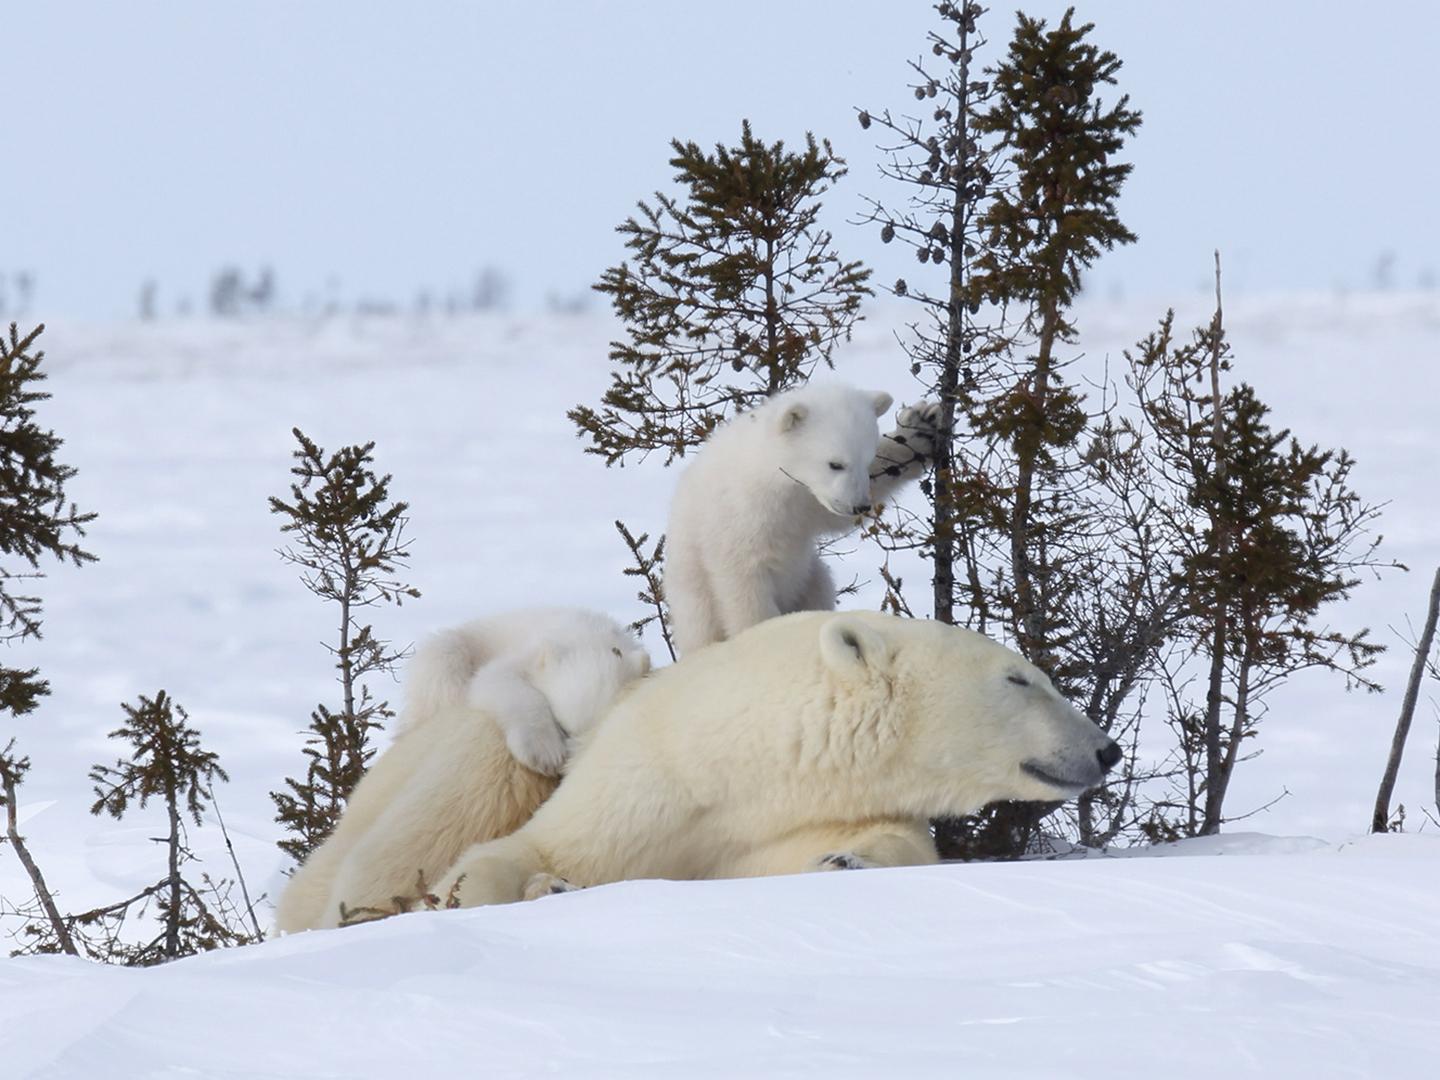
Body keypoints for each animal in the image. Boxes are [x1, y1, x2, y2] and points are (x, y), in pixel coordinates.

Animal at [270, 604, 653, 933]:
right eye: (564, 728)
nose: (569, 767)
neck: (588, 634)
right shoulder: (519, 654)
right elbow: (498, 684)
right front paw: (544, 753)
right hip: (449, 655)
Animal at [432, 613, 1117, 910]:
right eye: (1020, 679)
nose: (1104, 748)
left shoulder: (809, 813)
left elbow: (877, 845)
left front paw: (844, 862)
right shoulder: (643, 787)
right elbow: (530, 849)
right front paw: (526, 886)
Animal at [662, 385, 944, 656]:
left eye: (867, 459)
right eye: (835, 464)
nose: (859, 505)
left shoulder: (806, 503)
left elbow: (833, 515)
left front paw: (921, 424)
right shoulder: (738, 513)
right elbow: (743, 578)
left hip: (808, 576)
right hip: (695, 599)